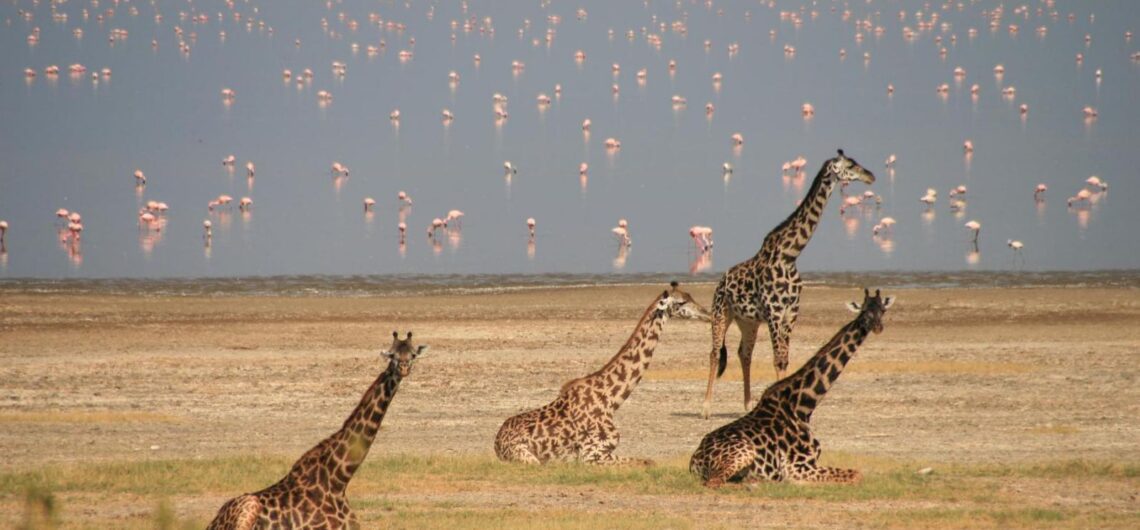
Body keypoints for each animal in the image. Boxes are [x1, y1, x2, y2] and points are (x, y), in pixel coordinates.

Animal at [207, 330, 428, 528]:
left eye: (412, 354)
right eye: (392, 355)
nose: (403, 367)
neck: (339, 480)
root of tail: (213, 521)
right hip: (248, 506)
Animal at [494, 280, 706, 462]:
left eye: (690, 295)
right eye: (681, 302)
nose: (706, 313)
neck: (611, 401)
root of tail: (496, 443)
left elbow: (648, 462)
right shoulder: (592, 454)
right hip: (528, 458)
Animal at [688, 289, 893, 487]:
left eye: (882, 310)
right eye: (864, 311)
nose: (877, 327)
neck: (803, 405)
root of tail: (694, 461)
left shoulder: (812, 462)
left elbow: (856, 473)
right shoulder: (797, 466)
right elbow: (856, 475)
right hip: (743, 453)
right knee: (716, 482)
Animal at [702, 148, 870, 417]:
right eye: (851, 165)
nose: (871, 176)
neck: (789, 255)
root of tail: (719, 282)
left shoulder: (791, 313)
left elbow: (784, 359)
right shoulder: (774, 313)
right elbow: (778, 359)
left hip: (747, 321)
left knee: (744, 353)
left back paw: (747, 405)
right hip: (721, 314)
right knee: (715, 353)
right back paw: (705, 408)